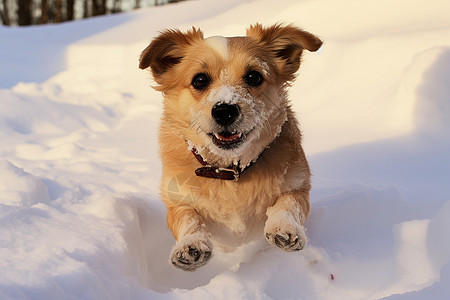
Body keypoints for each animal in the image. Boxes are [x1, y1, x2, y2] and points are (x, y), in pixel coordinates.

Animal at [139, 24, 322, 272]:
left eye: (254, 76)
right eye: (199, 80)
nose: (225, 110)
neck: (228, 171)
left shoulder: (298, 184)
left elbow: (289, 203)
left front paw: (284, 227)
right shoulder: (176, 199)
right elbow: (188, 217)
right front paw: (191, 244)